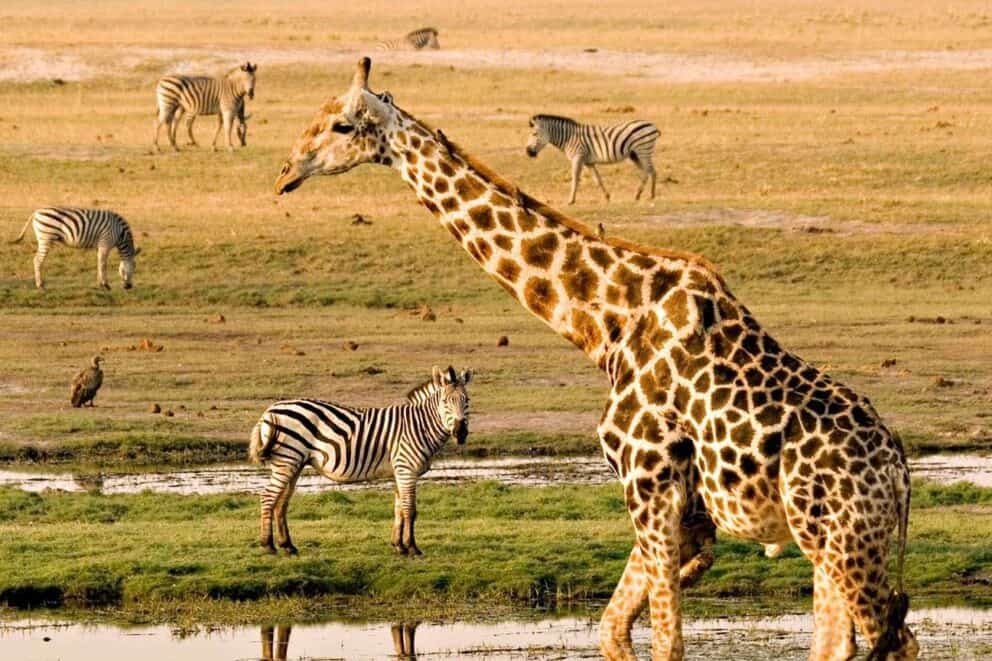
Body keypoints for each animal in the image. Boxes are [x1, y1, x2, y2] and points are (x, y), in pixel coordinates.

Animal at [11, 207, 140, 290]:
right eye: (134, 268)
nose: (129, 287)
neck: (120, 234)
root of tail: (36, 212)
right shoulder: (105, 242)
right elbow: (103, 264)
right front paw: (106, 285)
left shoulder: (100, 246)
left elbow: (99, 263)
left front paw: (99, 284)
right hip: (45, 238)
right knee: (37, 261)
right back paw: (40, 285)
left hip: (43, 238)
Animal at [249, 365, 471, 557]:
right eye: (445, 402)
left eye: (466, 400)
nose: (460, 433)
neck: (420, 426)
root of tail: (270, 410)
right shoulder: (406, 470)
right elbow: (410, 510)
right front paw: (412, 548)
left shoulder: (399, 472)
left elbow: (398, 509)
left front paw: (398, 546)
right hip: (287, 460)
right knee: (268, 497)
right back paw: (268, 545)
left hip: (294, 463)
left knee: (281, 502)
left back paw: (288, 546)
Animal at [525, 114, 660, 204]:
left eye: (534, 134)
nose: (528, 152)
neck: (569, 138)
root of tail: (652, 125)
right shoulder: (588, 162)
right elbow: (598, 180)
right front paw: (607, 197)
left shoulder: (578, 158)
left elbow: (575, 179)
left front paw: (571, 200)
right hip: (634, 154)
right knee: (650, 171)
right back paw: (647, 195)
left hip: (643, 150)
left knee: (649, 171)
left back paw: (644, 194)